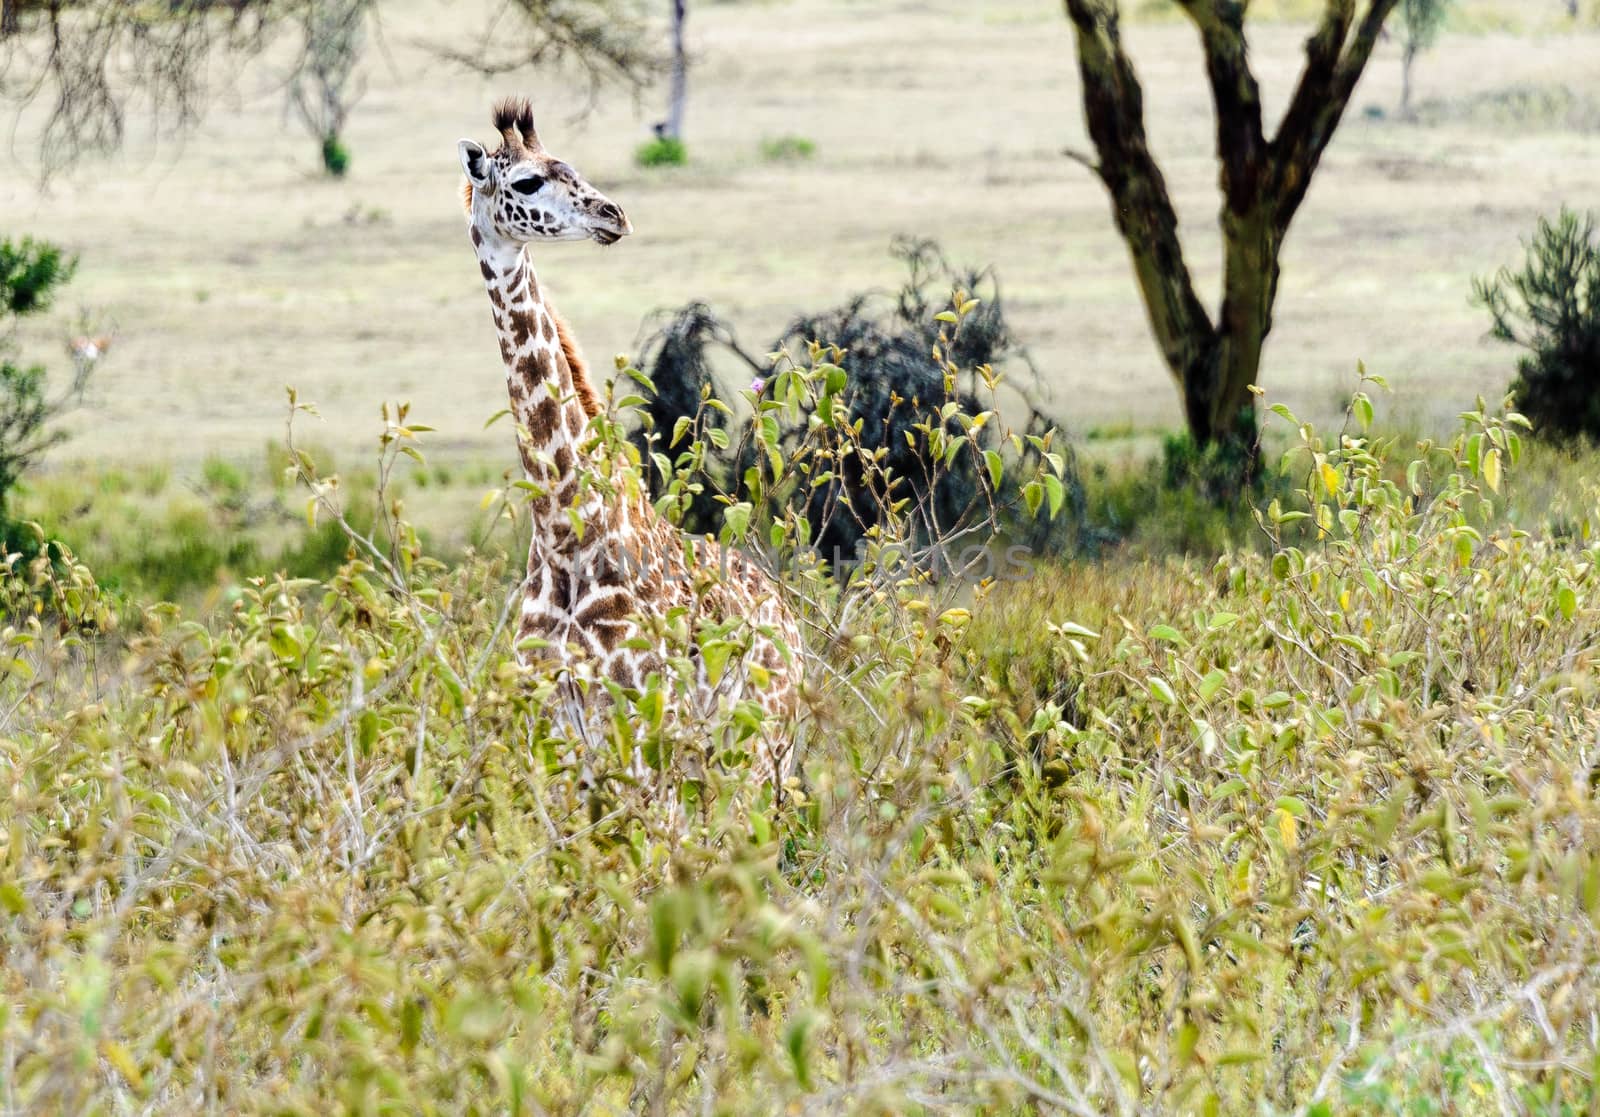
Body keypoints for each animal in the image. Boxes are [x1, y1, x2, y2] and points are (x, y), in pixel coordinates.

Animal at [454, 93, 800, 790]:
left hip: (761, 748)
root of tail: (793, 624)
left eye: (573, 168)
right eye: (526, 182)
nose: (614, 215)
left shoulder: (640, 716)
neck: (566, 535)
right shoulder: (554, 729)